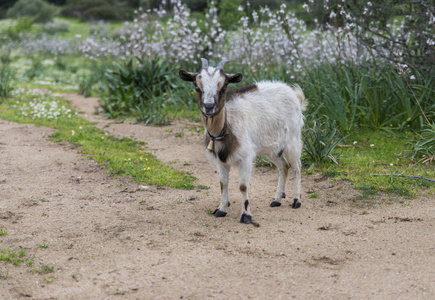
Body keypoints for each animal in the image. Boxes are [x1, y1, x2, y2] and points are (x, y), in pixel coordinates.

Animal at [177, 58, 306, 224]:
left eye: (224, 85)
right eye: (196, 86)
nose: (209, 106)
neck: (226, 127)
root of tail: (294, 95)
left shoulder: (245, 158)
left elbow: (243, 186)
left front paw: (246, 215)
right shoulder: (221, 161)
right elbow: (223, 184)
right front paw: (221, 209)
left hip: (292, 141)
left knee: (297, 167)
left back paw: (296, 200)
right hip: (272, 149)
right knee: (284, 166)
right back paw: (277, 199)